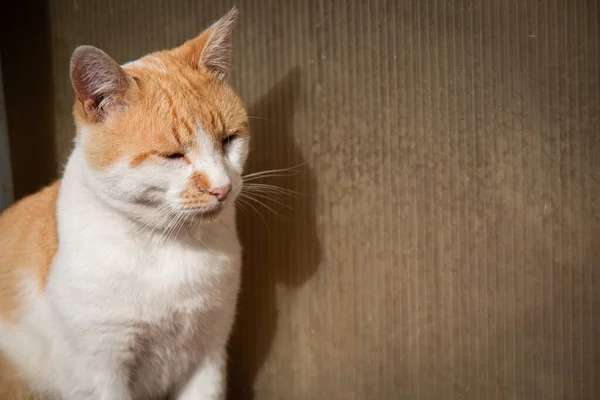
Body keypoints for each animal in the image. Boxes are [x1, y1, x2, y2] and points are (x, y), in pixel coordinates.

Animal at [0, 7, 248, 400]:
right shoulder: (100, 371)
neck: (170, 246)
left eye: (229, 140)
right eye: (173, 155)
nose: (222, 187)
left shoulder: (207, 355)